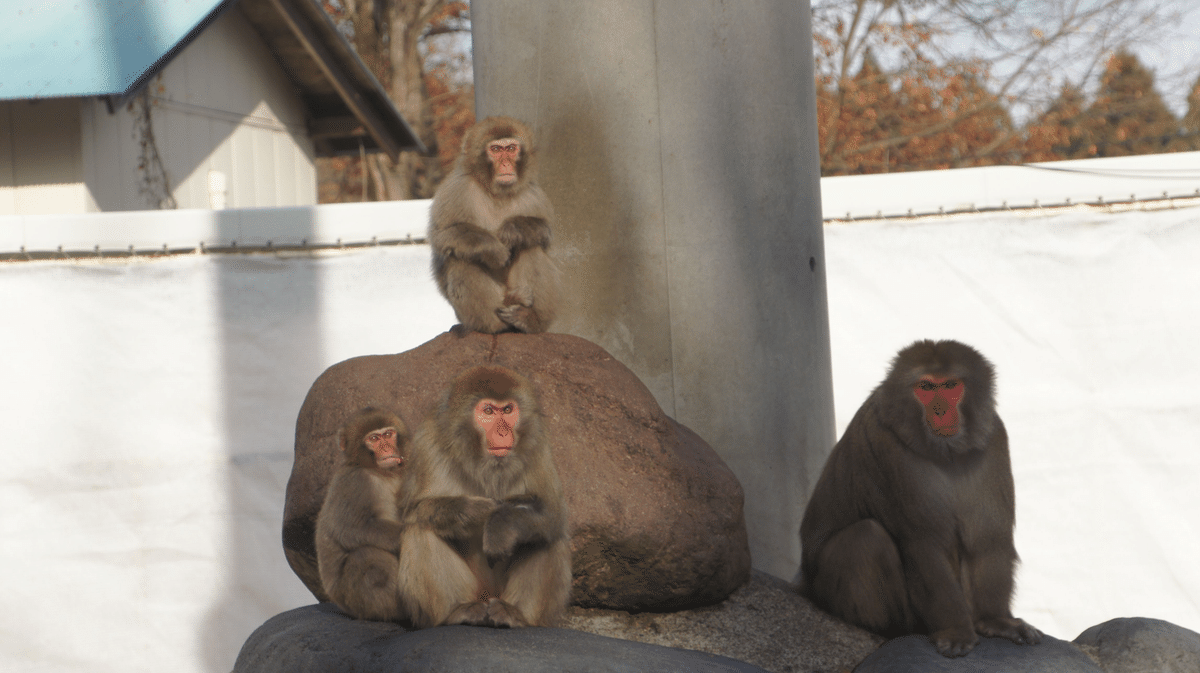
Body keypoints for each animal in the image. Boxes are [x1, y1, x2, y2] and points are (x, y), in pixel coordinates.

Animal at [316, 403, 410, 619]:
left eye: (388, 434)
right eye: (374, 439)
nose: (387, 448)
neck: (381, 472)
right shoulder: (354, 482)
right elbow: (352, 529)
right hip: (354, 601)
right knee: (368, 557)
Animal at [398, 364, 571, 628]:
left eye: (508, 410)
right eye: (488, 411)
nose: (503, 433)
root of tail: (489, 596)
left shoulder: (538, 444)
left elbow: (552, 513)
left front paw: (501, 523)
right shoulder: (428, 441)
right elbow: (411, 511)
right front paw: (474, 512)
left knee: (546, 535)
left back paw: (514, 615)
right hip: (474, 592)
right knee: (420, 529)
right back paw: (458, 611)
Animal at [427, 118, 561, 335]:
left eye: (511, 148)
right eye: (496, 149)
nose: (505, 163)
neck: (497, 192)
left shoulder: (533, 194)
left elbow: (546, 235)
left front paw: (514, 229)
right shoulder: (456, 189)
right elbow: (442, 236)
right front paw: (493, 248)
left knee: (531, 246)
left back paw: (529, 319)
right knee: (460, 257)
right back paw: (495, 322)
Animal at [796, 338, 1041, 652]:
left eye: (950, 385)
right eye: (925, 387)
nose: (939, 411)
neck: (946, 451)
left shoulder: (993, 438)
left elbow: (987, 538)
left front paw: (994, 620)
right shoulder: (889, 446)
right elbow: (925, 544)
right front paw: (956, 629)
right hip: (827, 596)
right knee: (865, 538)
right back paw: (894, 629)